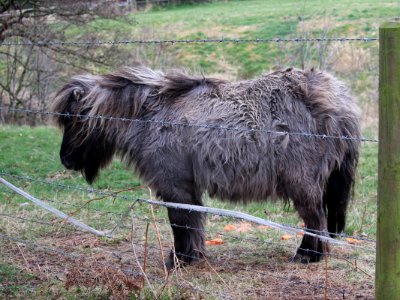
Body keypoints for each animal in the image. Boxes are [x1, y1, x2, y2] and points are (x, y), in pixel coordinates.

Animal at [51, 66, 360, 268]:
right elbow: (193, 222)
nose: (65, 160)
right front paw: (193, 256)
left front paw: (180, 260)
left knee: (316, 220)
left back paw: (309, 256)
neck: (150, 114)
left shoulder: (175, 186)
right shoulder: (187, 187)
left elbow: (181, 222)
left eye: (74, 119)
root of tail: (340, 102)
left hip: (302, 183)